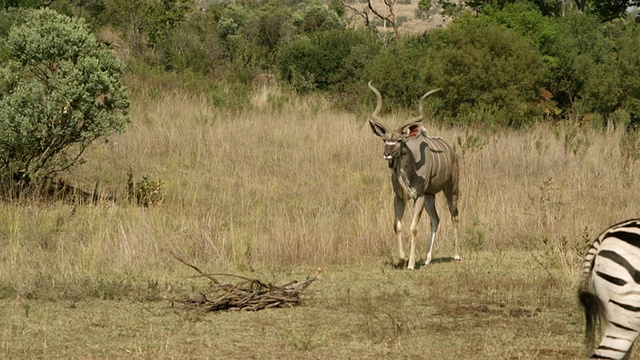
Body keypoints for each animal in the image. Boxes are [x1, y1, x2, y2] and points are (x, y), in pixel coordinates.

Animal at [364, 80, 460, 268]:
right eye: (384, 139)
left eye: (400, 140)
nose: (387, 154)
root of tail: (452, 151)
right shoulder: (400, 197)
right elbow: (397, 225)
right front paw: (402, 258)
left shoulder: (418, 196)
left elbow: (413, 227)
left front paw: (411, 263)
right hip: (430, 195)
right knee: (435, 219)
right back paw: (428, 259)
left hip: (450, 189)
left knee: (454, 216)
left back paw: (457, 255)